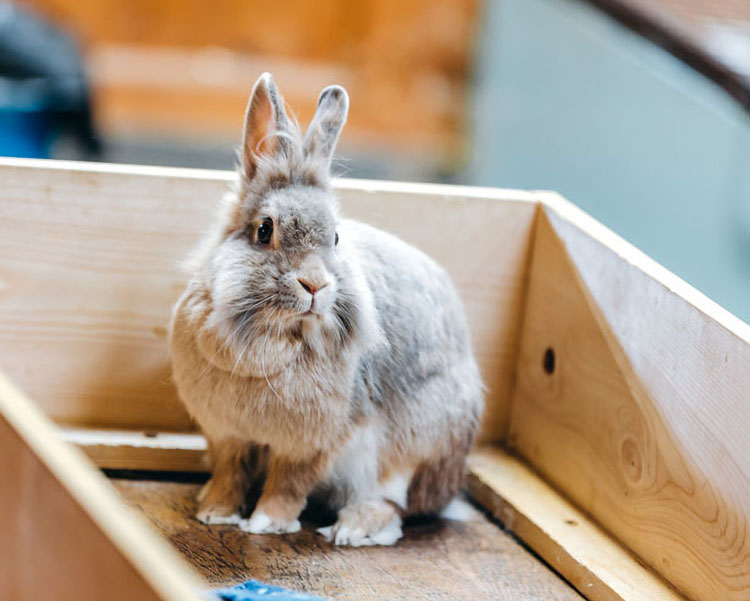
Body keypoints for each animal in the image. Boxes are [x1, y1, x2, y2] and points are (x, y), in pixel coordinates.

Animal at [170, 72, 484, 548]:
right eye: (265, 230)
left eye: (335, 238)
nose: (315, 285)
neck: (276, 338)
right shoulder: (227, 435)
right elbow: (230, 473)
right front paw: (215, 513)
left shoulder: (313, 443)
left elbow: (288, 484)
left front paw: (266, 524)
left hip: (412, 451)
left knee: (395, 504)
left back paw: (354, 528)